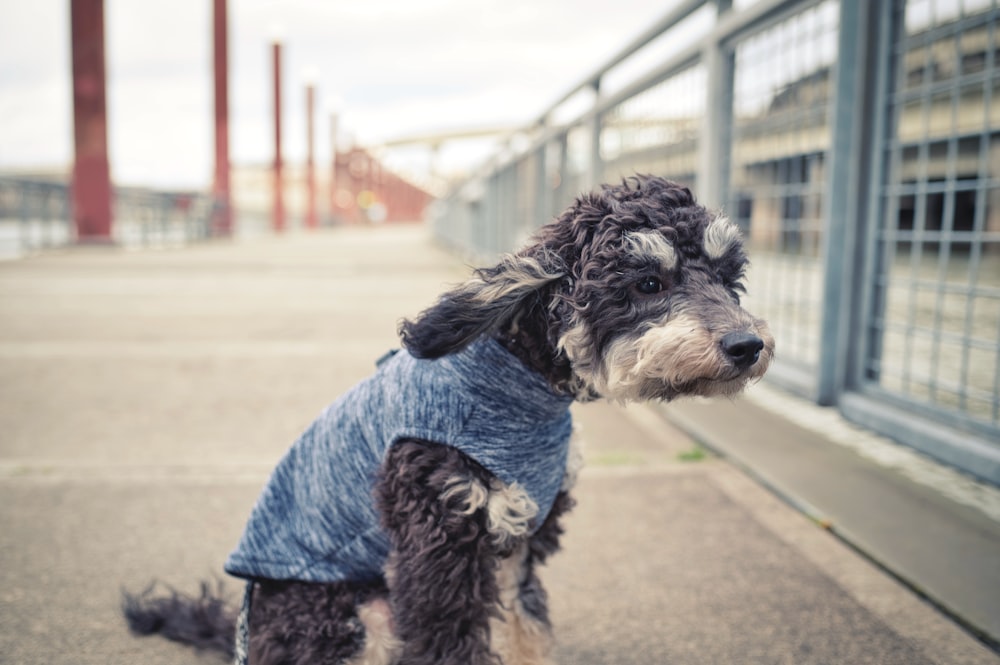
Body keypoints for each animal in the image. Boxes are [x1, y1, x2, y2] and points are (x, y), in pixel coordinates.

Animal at [125, 176, 776, 664]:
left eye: (730, 279)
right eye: (647, 282)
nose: (748, 345)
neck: (521, 387)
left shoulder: (519, 540)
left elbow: (527, 626)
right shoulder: (440, 545)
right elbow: (449, 642)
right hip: (352, 615)